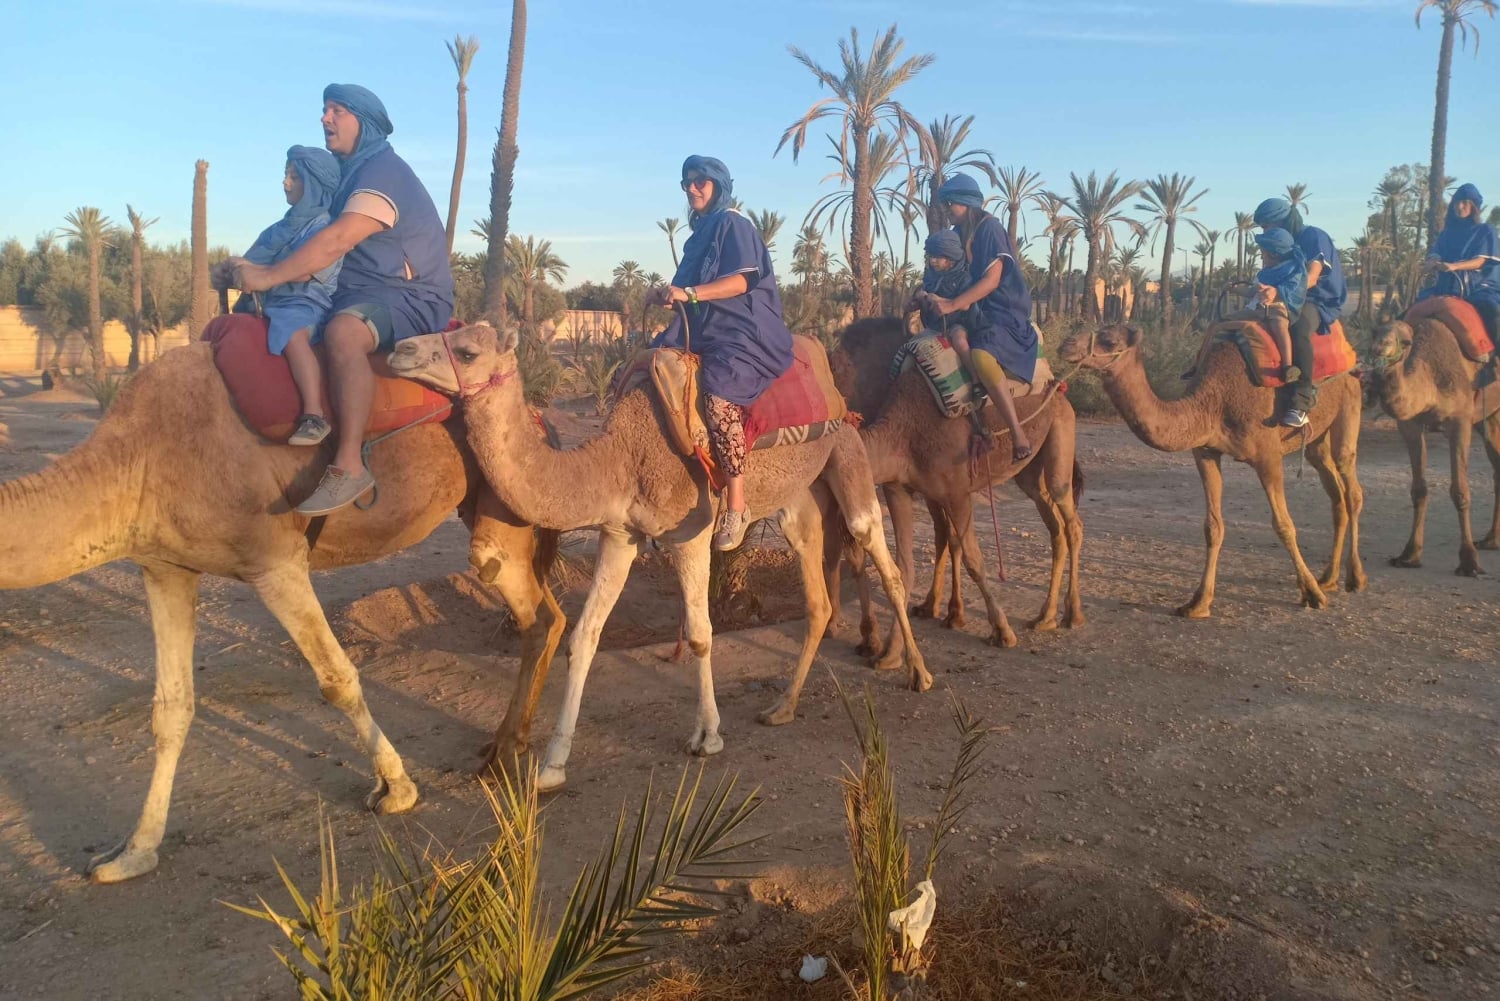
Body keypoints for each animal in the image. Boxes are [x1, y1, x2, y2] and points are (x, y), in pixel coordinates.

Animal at [0, 343, 564, 883]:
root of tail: (536, 417)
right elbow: (171, 708)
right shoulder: (165, 567)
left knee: (531, 611)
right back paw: (506, 745)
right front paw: (132, 853)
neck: (135, 456)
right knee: (548, 615)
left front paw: (397, 788)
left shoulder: (274, 562)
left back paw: (506, 754)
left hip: (502, 508)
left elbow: (337, 680)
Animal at [388, 323, 929, 793]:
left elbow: (701, 634)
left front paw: (707, 737)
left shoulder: (690, 534)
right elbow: (584, 637)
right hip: (799, 494)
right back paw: (783, 706)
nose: (400, 350)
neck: (619, 457)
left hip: (847, 449)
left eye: (467, 351)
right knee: (814, 584)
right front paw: (552, 766)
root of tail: (835, 389)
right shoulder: (618, 534)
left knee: (878, 552)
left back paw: (917, 674)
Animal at [825, 319, 1084, 650]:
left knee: (1070, 518)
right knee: (1054, 525)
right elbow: (926, 546)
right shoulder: (908, 486)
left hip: (1060, 436)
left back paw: (1072, 614)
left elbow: (961, 548)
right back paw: (1045, 616)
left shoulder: (954, 490)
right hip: (1030, 475)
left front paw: (975, 621)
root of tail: (1058, 387)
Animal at [1057, 324, 1366, 615]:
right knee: (1335, 493)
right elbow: (1213, 526)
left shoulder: (1268, 455)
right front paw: (1198, 603)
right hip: (1317, 440)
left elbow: (1284, 524)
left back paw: (1355, 578)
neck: (1214, 402)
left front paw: (1312, 594)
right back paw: (1328, 577)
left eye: (1110, 341)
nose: (1066, 344)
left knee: (1351, 486)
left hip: (1349, 404)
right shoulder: (1205, 452)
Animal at [1367, 317, 1500, 575]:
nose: (1380, 348)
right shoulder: (1409, 424)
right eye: (1376, 333)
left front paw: (1469, 562)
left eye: (1404, 341)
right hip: (1487, 417)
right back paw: (1491, 540)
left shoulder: (1460, 419)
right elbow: (1419, 490)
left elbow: (1460, 490)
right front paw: (1409, 555)